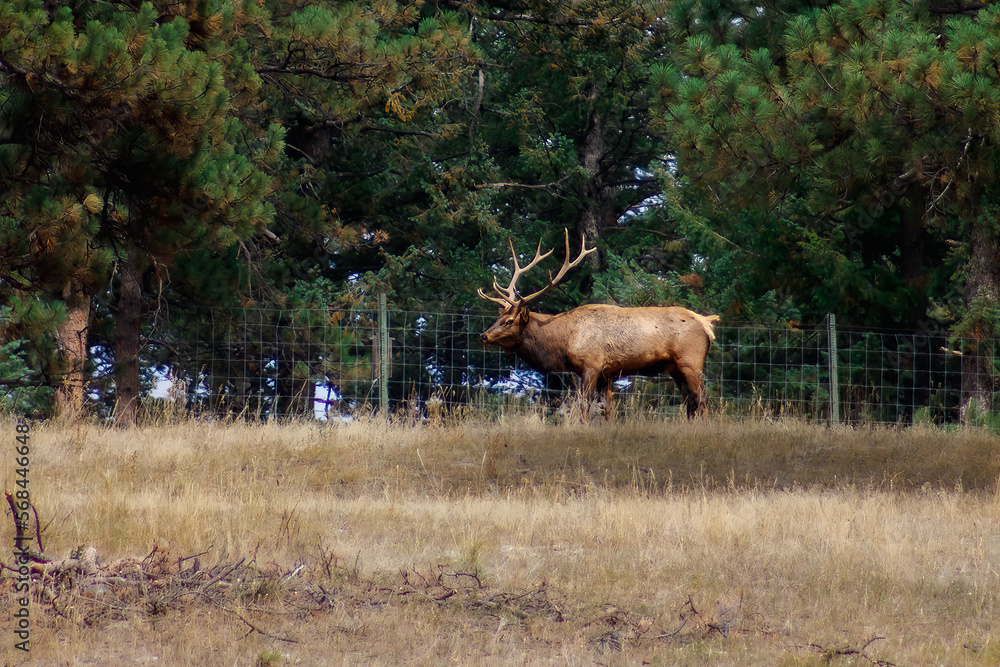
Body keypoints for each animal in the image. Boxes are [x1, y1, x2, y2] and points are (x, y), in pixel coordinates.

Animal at [478, 230, 719, 419]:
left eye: (509, 321)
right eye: (497, 318)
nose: (484, 336)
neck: (564, 341)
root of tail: (707, 324)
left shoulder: (591, 365)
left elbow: (584, 406)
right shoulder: (606, 372)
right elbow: (607, 408)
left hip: (690, 361)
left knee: (702, 397)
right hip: (674, 367)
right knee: (690, 401)